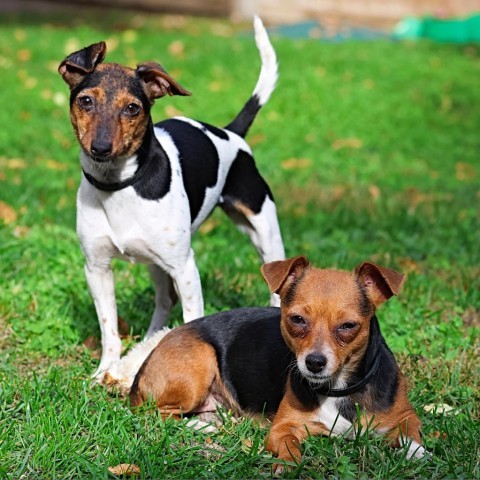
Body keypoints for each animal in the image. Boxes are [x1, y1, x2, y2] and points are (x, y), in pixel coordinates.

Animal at [59, 16, 284, 380]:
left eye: (133, 108)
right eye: (86, 101)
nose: (101, 148)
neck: (120, 186)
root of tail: (231, 133)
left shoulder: (185, 268)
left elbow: (193, 322)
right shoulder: (97, 268)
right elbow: (109, 329)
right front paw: (106, 370)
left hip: (264, 231)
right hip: (155, 263)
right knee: (164, 301)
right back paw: (151, 339)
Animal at [129, 258, 426, 472]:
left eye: (348, 326)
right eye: (297, 319)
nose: (314, 362)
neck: (339, 389)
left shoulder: (406, 416)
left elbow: (410, 434)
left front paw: (415, 452)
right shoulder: (283, 428)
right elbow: (290, 445)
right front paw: (288, 465)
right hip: (198, 367)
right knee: (156, 413)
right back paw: (202, 427)